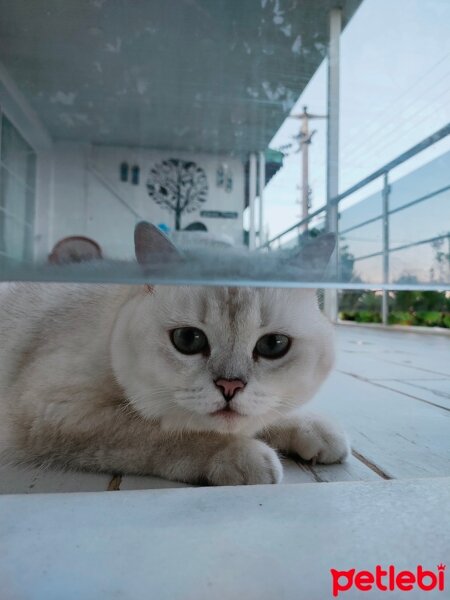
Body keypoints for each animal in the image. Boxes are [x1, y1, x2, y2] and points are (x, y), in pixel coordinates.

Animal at [0, 223, 348, 486]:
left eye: (273, 345)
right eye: (188, 339)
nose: (230, 386)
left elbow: (267, 415)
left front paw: (314, 430)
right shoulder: (58, 411)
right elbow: (170, 432)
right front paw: (246, 456)